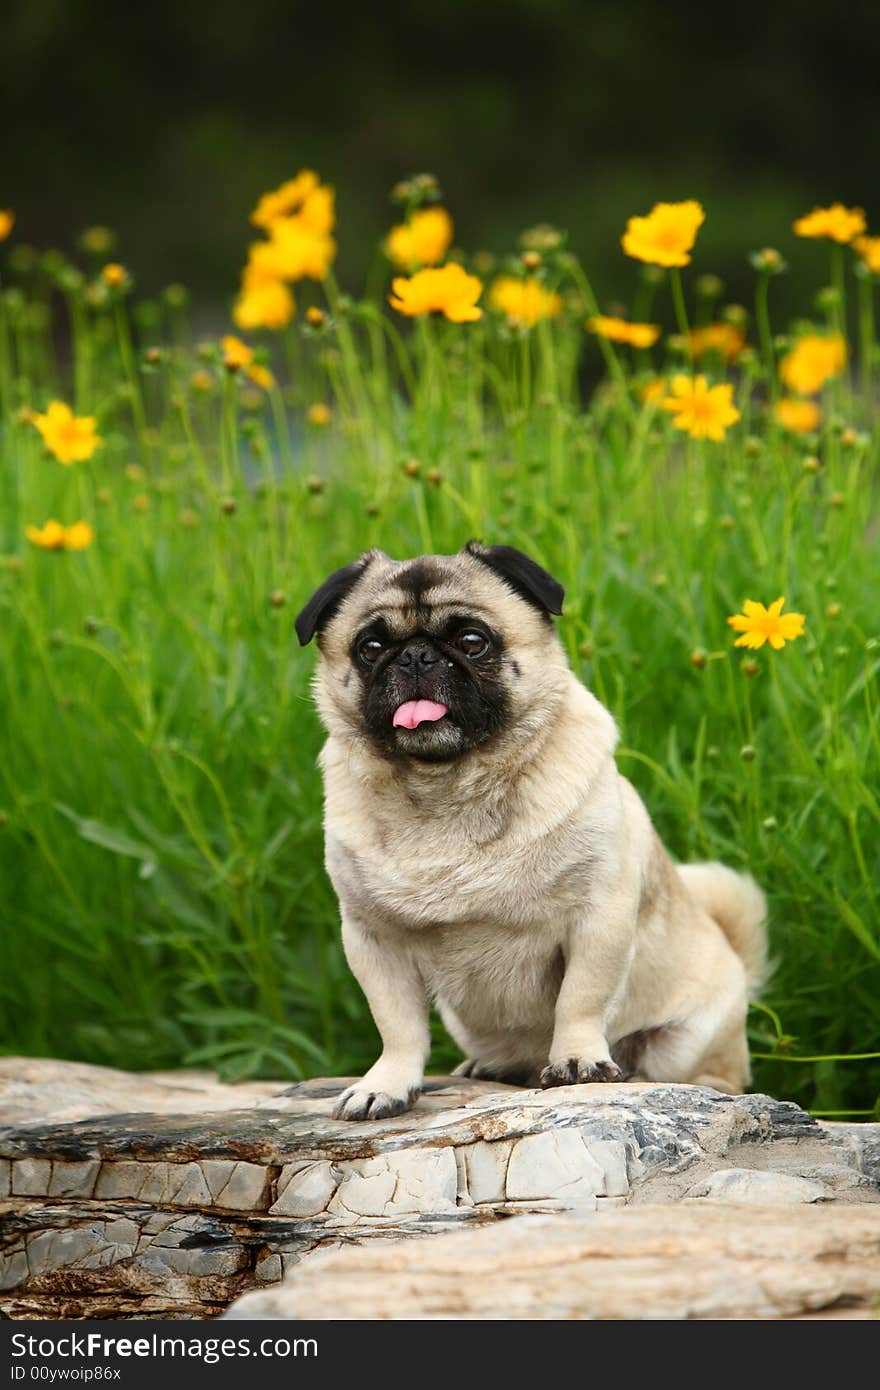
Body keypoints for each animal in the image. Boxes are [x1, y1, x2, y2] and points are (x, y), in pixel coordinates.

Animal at [293, 536, 761, 1123]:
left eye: (472, 641)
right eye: (371, 647)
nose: (416, 656)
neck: (446, 787)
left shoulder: (598, 918)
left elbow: (580, 1000)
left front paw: (577, 1062)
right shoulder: (372, 938)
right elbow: (398, 1027)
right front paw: (387, 1084)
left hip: (687, 1041)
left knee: (712, 1075)